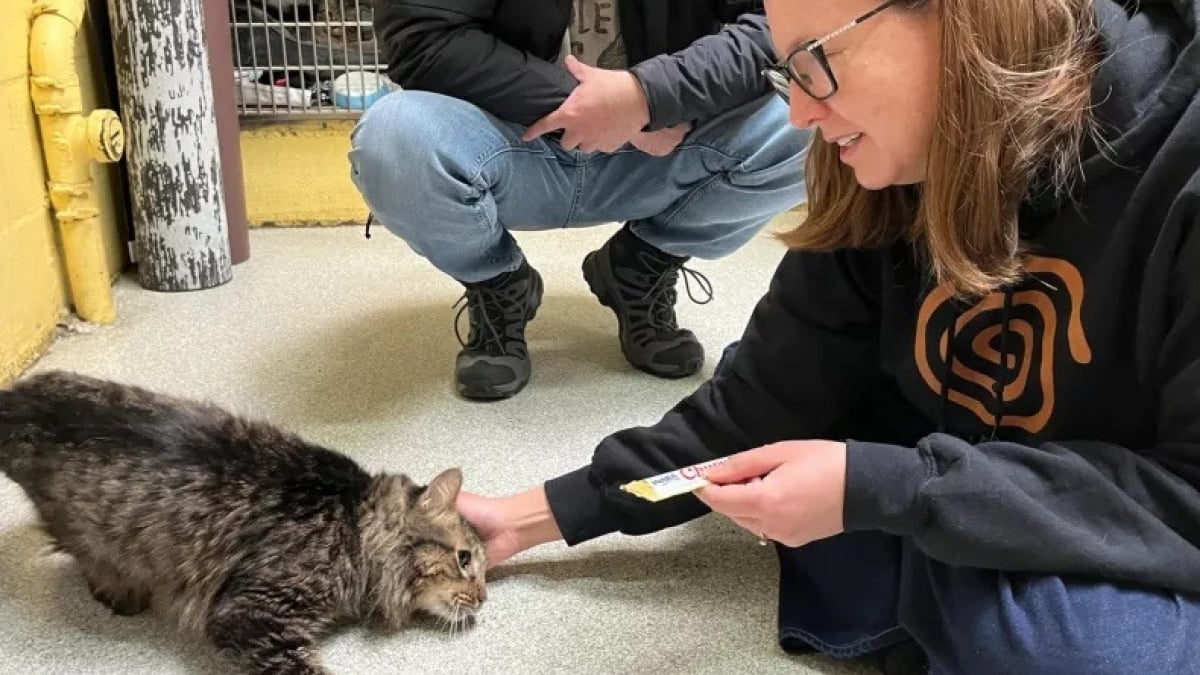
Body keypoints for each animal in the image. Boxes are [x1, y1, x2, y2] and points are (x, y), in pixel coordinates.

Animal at [1, 367, 487, 672]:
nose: (483, 599)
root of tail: (17, 401)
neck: (350, 522)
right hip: (94, 535)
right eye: (464, 560)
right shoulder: (250, 616)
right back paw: (121, 593)